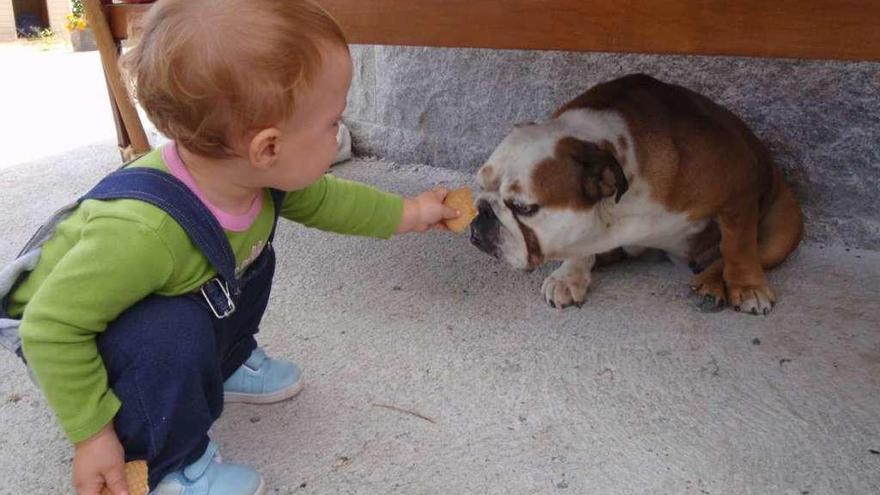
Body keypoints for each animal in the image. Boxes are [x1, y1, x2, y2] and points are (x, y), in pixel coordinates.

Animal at [470, 74, 800, 314]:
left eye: (523, 208)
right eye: (480, 187)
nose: (482, 212)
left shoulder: (738, 186)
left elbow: (737, 245)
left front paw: (747, 286)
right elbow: (579, 247)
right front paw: (569, 275)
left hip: (783, 230)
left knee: (738, 254)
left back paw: (710, 283)